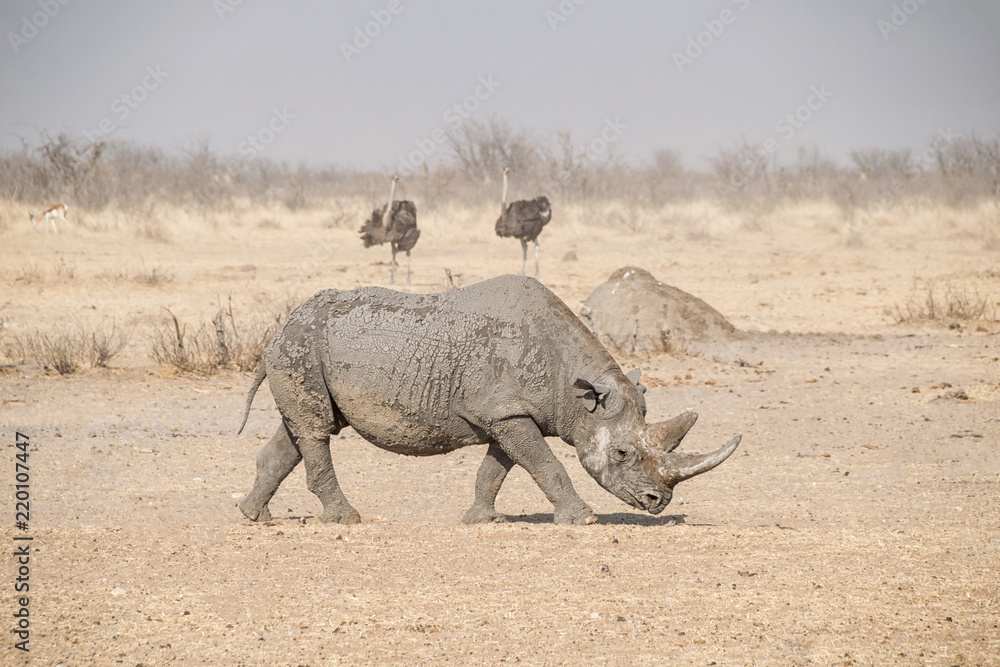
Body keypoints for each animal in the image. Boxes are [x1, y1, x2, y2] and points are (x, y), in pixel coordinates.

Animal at [237, 275, 741, 525]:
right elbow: (546, 465)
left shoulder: (506, 414)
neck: (575, 390)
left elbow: (497, 469)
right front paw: (582, 521)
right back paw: (346, 520)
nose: (659, 503)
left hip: (303, 350)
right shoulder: (509, 412)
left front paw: (481, 519)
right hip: (301, 346)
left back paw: (255, 516)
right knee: (316, 430)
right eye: (620, 453)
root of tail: (282, 324)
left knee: (302, 430)